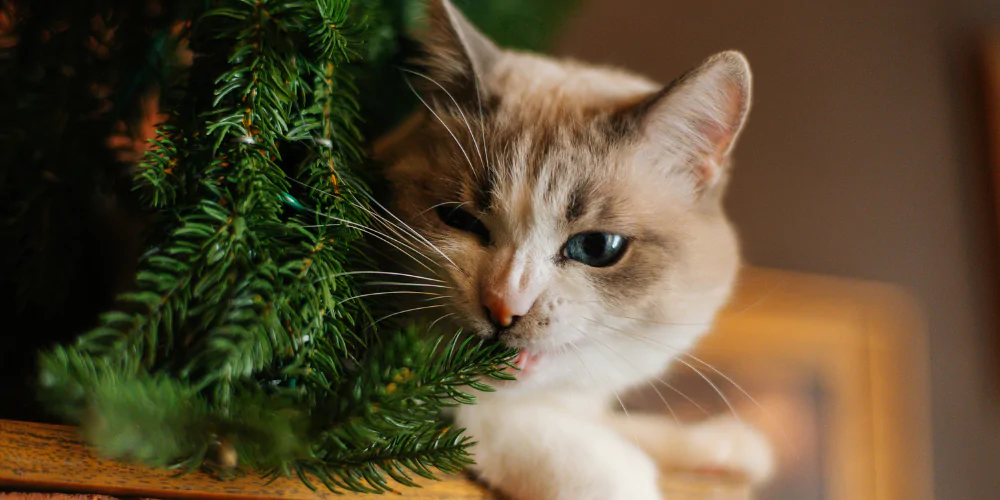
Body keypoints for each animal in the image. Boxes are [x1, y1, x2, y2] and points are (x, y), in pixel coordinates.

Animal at [374, 1, 772, 498]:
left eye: (597, 247)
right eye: (461, 220)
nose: (503, 306)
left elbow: (630, 424)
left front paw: (721, 447)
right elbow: (502, 422)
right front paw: (626, 472)